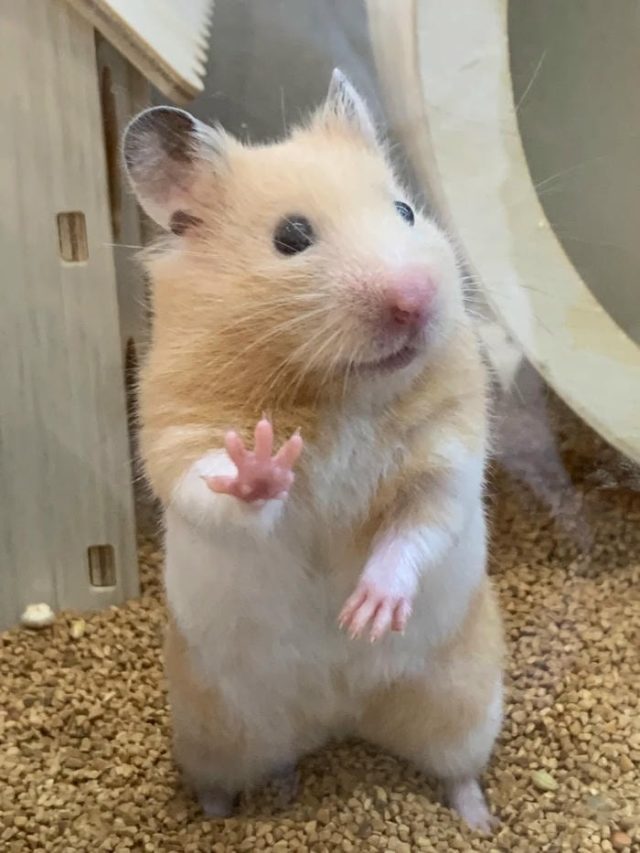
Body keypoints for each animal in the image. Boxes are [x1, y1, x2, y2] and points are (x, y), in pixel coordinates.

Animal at [123, 69, 504, 832]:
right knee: (229, 776)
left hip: (465, 699)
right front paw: (265, 466)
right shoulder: (179, 436)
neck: (341, 392)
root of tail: (341, 716)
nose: (417, 298)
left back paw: (479, 820)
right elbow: (216, 488)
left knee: (456, 769)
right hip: (212, 728)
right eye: (291, 236)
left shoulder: (449, 456)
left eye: (405, 211)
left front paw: (365, 617)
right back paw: (224, 811)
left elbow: (419, 525)